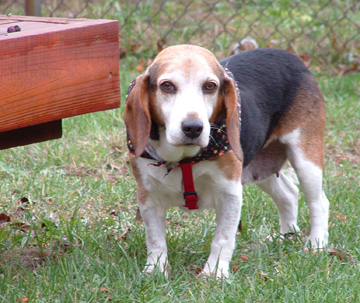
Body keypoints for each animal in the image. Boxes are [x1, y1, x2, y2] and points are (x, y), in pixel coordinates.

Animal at [124, 44, 330, 280]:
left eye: (210, 86)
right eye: (167, 86)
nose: (193, 127)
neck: (185, 159)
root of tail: (292, 57)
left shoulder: (230, 192)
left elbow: (222, 239)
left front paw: (214, 273)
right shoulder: (148, 196)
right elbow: (155, 240)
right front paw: (155, 271)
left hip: (306, 159)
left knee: (319, 202)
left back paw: (316, 243)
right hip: (258, 167)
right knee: (289, 194)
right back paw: (286, 236)